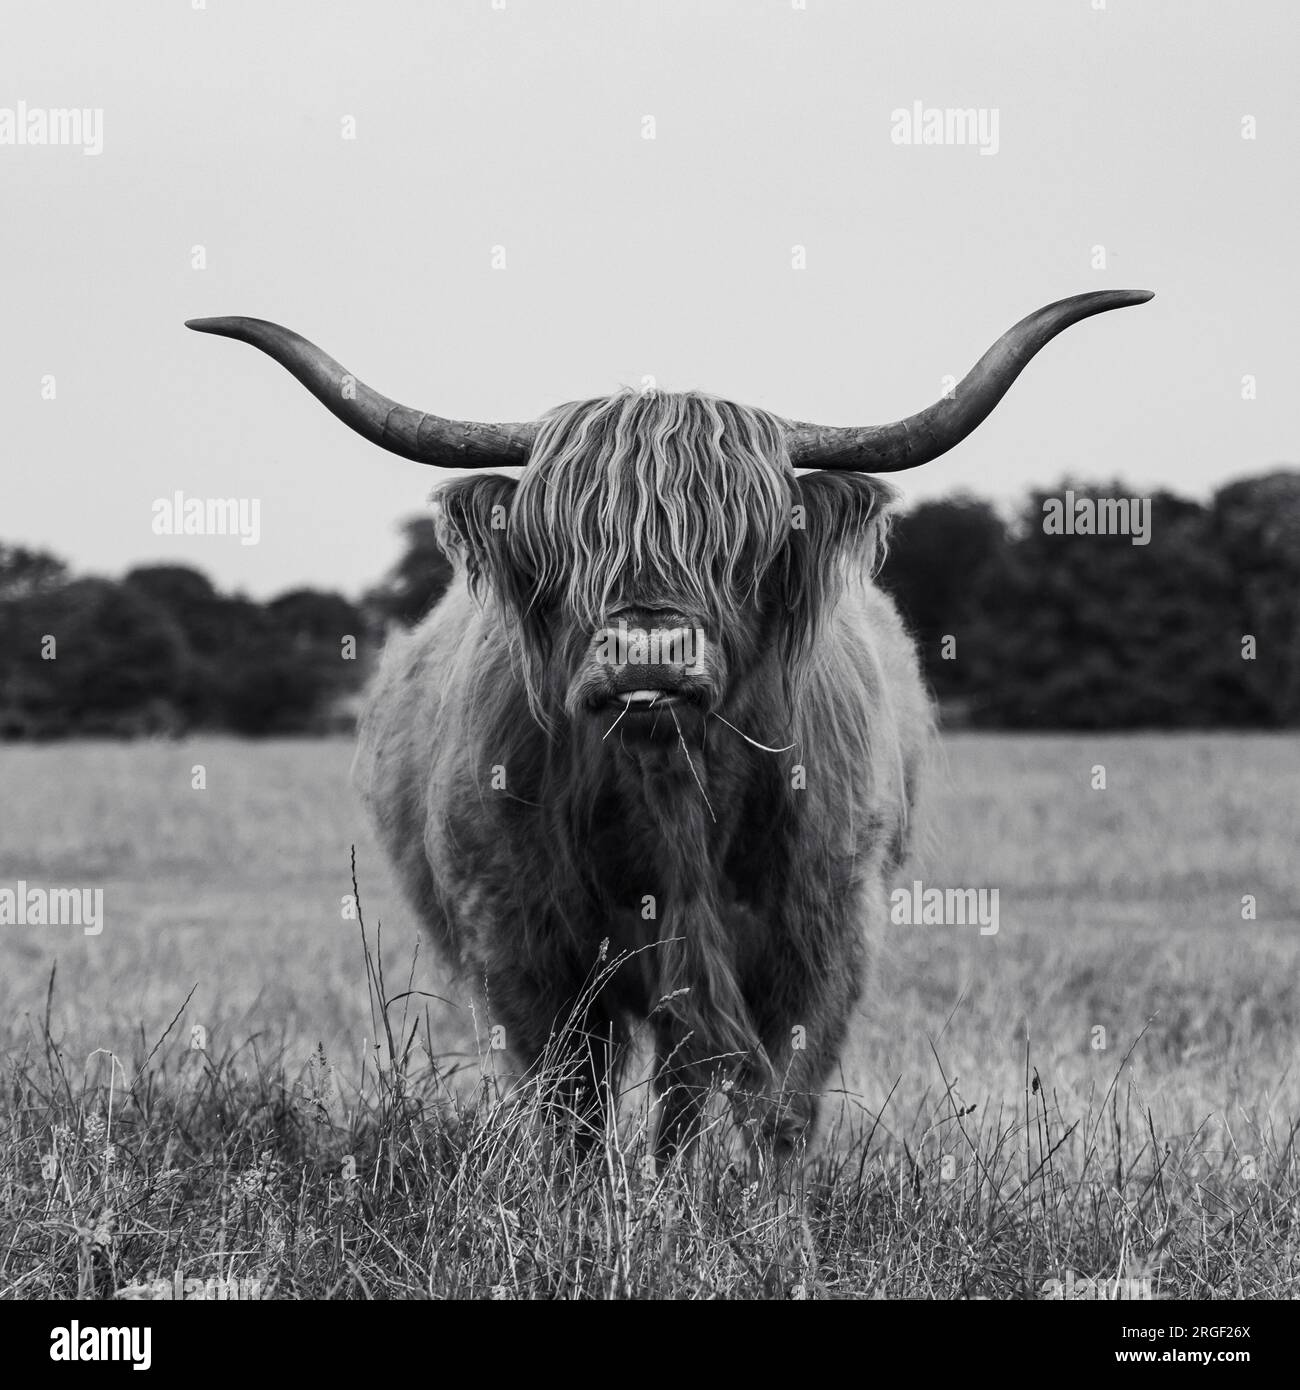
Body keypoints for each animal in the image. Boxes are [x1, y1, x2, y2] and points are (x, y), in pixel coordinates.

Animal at [187, 289, 1152, 1167]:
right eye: (565, 541)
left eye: (742, 547)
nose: (647, 652)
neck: (673, 796)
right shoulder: (524, 948)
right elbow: (568, 1106)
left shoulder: (822, 937)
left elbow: (780, 1111)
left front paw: (768, 1227)